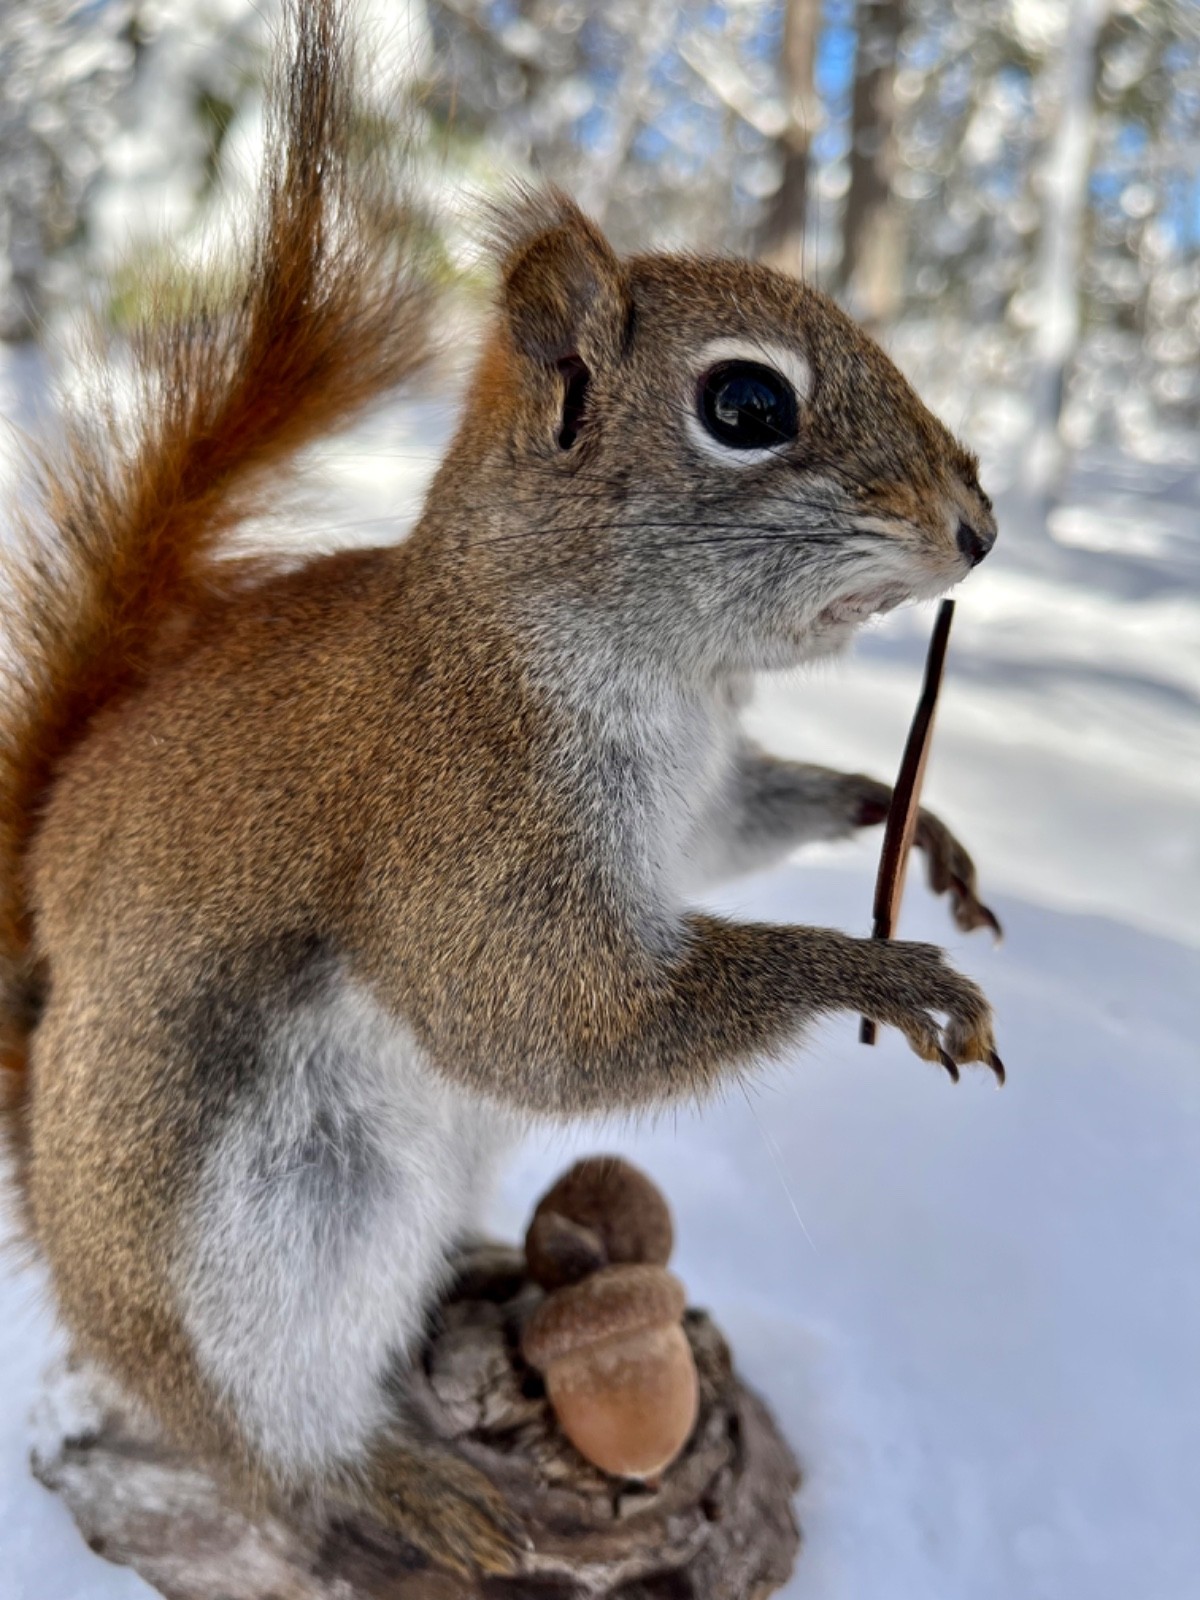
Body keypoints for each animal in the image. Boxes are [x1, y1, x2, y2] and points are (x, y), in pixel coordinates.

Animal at [0, 0, 1003, 1575]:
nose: (978, 525)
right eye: (746, 402)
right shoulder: (457, 808)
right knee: (263, 1441)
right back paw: (389, 1481)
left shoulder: (693, 805)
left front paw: (903, 819)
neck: (662, 670)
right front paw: (877, 971)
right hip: (258, 1233)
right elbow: (534, 1015)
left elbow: (736, 834)